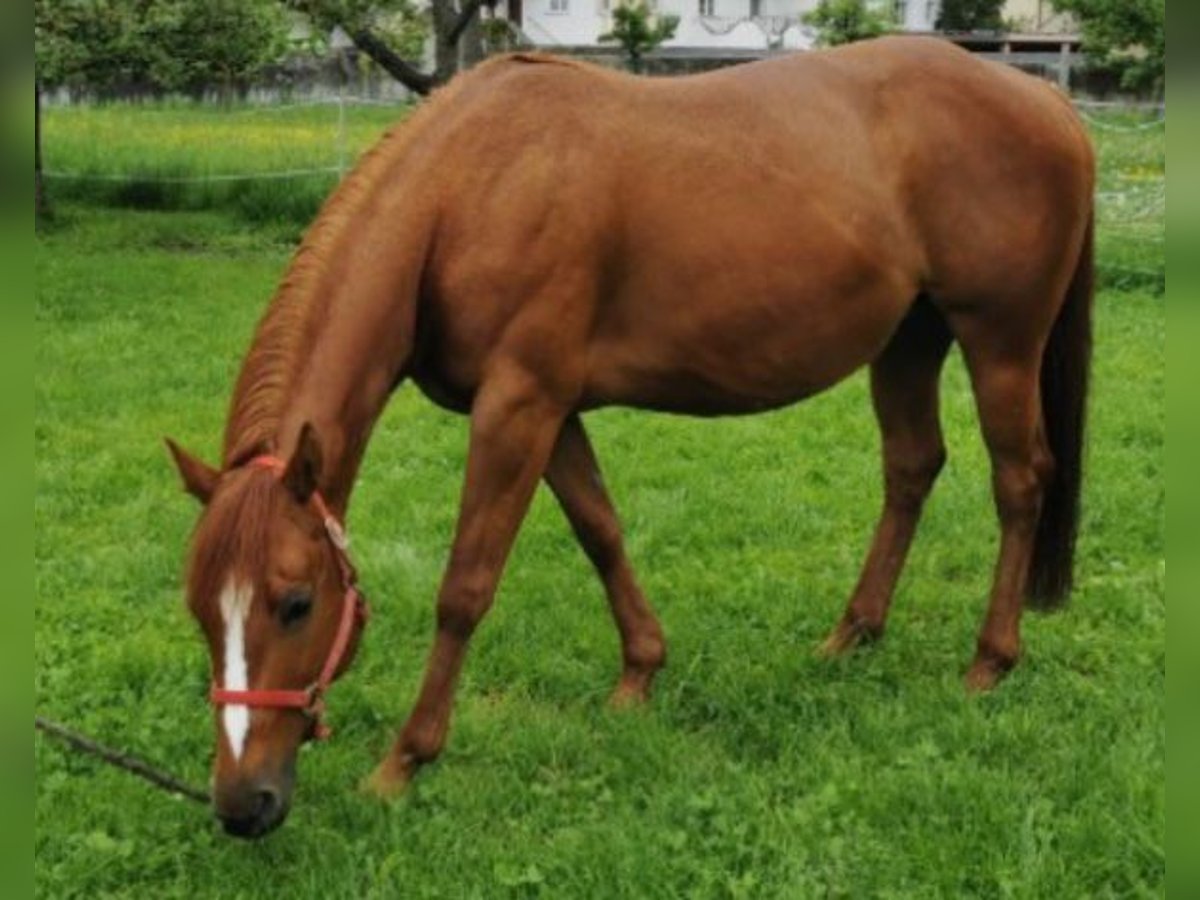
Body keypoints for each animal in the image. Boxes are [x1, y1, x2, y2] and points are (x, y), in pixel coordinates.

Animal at [169, 35, 1099, 840]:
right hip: (908, 340)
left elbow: (466, 586)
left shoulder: (518, 406)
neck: (468, 188)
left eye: (297, 603)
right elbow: (601, 531)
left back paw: (989, 663)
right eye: (199, 610)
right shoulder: (551, 411)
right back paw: (851, 637)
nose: (241, 804)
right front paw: (640, 673)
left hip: (999, 342)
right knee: (911, 468)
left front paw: (404, 761)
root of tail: (1046, 102)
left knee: (1020, 482)